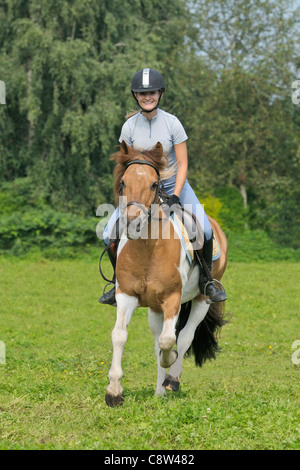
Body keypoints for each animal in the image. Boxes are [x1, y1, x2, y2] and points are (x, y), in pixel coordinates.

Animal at [105, 141, 227, 406]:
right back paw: (159, 391)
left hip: (201, 299)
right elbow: (119, 335)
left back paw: (172, 380)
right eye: (123, 183)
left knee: (184, 337)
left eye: (154, 184)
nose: (132, 222)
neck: (148, 248)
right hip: (154, 307)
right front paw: (114, 392)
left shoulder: (172, 298)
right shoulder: (126, 295)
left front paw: (169, 362)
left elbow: (169, 340)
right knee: (157, 339)